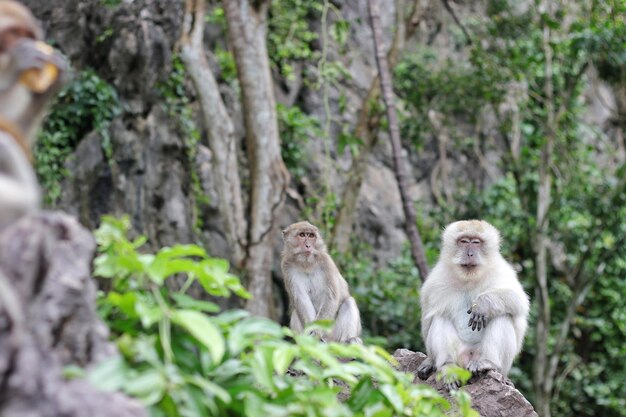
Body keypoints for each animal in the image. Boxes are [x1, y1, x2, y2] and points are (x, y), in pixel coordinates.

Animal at [416, 219, 528, 388]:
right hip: (460, 356)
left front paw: (482, 304)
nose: (470, 254)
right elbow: (427, 320)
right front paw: (430, 361)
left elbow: (518, 300)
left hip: (497, 363)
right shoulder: (435, 281)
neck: (469, 279)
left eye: (476, 242)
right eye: (463, 241)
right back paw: (448, 366)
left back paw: (488, 362)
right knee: (440, 317)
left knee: (503, 316)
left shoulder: (501, 270)